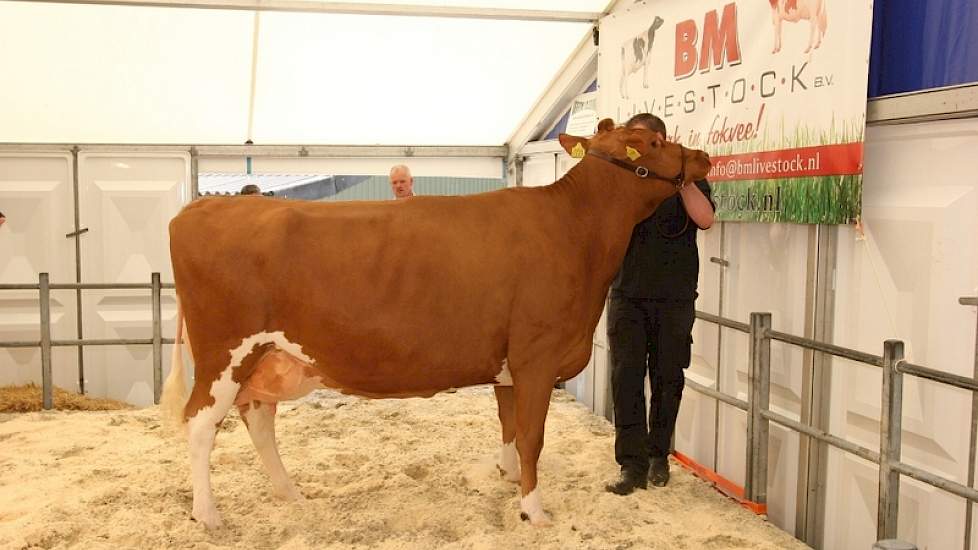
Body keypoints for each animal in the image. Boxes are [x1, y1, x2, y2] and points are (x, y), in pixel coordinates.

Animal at [160, 121, 708, 532]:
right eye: (654, 144)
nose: (703, 156)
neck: (576, 229)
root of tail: (201, 205)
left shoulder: (509, 363)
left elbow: (510, 425)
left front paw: (509, 478)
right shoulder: (537, 356)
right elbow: (532, 435)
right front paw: (533, 510)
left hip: (268, 359)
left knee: (258, 420)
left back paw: (290, 493)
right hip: (224, 355)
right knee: (201, 425)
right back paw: (208, 516)